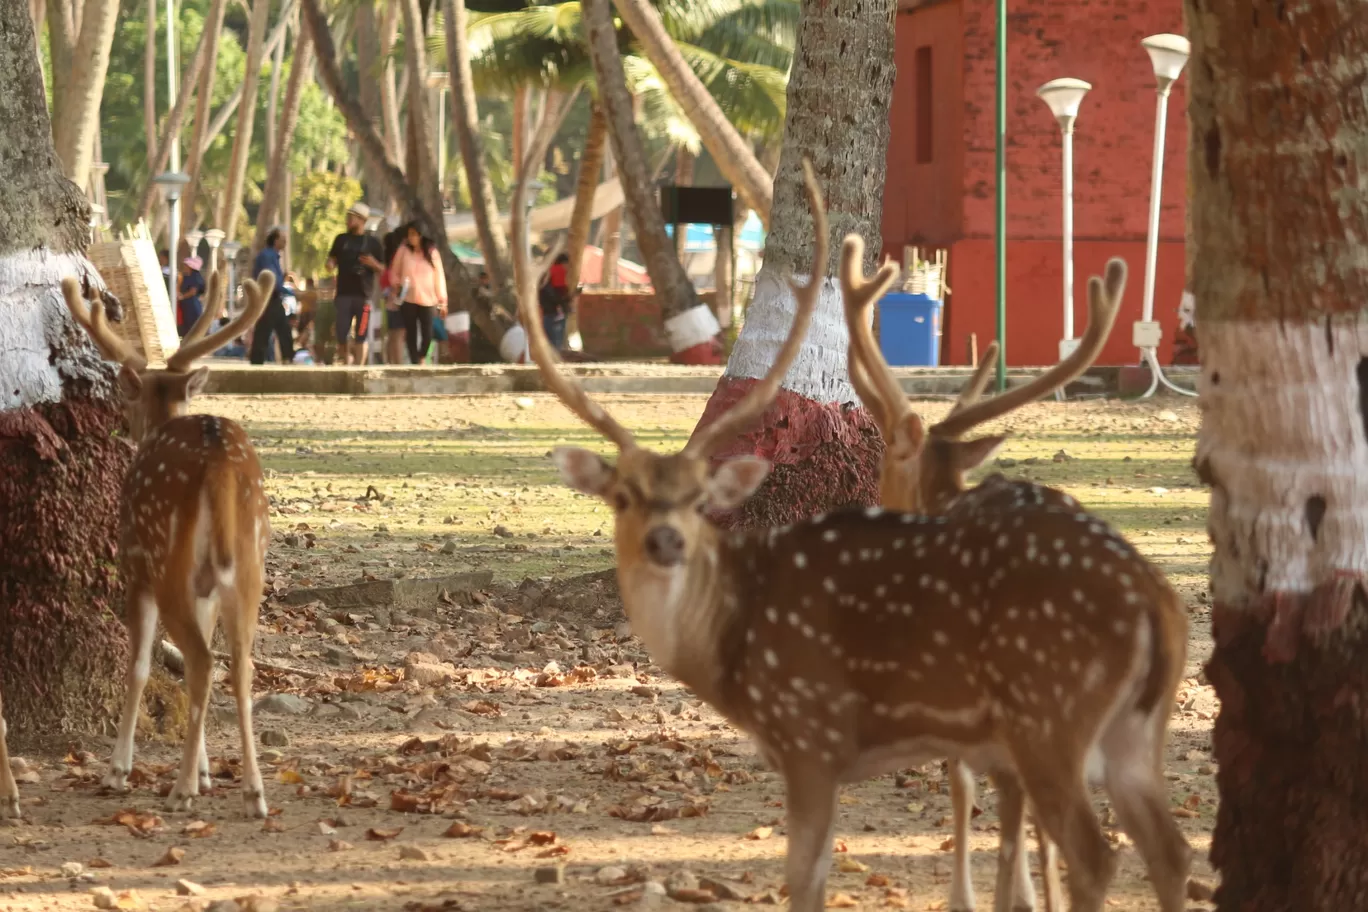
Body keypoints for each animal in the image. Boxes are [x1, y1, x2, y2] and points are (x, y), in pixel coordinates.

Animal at [63, 270, 274, 820]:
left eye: (129, 398)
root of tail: (218, 464)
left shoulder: (134, 571)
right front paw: (205, 769)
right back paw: (253, 792)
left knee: (202, 662)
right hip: (249, 565)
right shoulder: (206, 589)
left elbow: (138, 667)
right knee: (239, 663)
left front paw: (119, 769)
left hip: (166, 560)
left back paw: (179, 791)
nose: (121, 419)